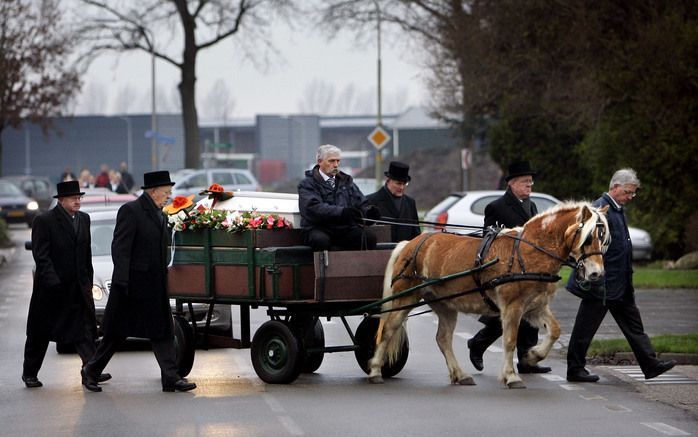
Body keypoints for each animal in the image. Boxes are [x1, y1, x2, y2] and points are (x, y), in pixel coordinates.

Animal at [368, 201, 608, 388]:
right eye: (588, 238)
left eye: (603, 239)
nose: (596, 273)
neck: (529, 252)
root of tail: (411, 243)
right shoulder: (512, 307)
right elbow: (510, 340)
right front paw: (511, 376)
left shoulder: (535, 307)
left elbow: (555, 331)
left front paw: (533, 356)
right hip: (405, 297)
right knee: (388, 330)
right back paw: (375, 370)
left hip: (445, 305)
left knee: (443, 339)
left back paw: (460, 374)